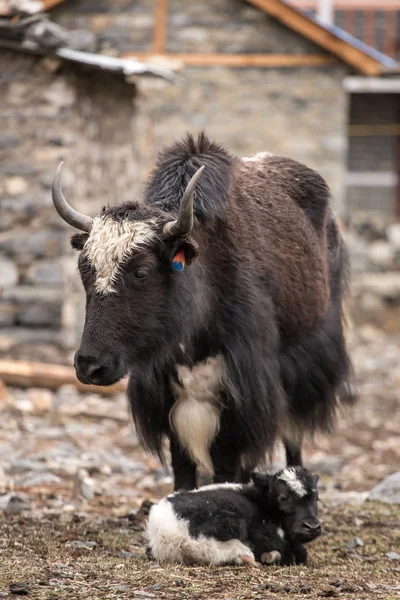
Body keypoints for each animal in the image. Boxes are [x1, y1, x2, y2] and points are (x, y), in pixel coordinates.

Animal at [50, 134, 354, 490]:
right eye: (84, 269)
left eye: (142, 272)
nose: (89, 366)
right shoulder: (166, 395)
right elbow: (182, 466)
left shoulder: (241, 394)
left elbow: (225, 463)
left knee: (293, 435)